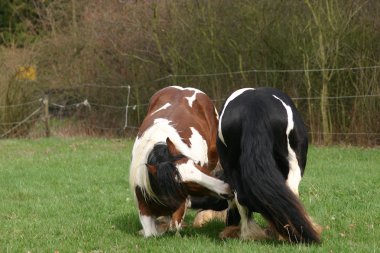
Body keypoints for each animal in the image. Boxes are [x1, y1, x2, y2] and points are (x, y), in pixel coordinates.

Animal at [130, 85, 232, 237]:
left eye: (197, 165)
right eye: (187, 184)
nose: (226, 188)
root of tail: (184, 89)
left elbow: (174, 226)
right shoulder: (144, 209)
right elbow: (151, 234)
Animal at [199, 86, 320, 243]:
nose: (228, 222)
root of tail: (256, 107)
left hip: (232, 164)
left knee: (243, 197)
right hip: (295, 163)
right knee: (290, 192)